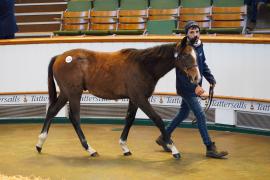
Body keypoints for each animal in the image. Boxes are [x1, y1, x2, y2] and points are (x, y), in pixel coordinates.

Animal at [35, 36, 199, 159]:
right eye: (185, 55)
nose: (196, 78)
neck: (143, 65)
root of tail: (60, 57)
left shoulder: (134, 99)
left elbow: (129, 119)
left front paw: (124, 147)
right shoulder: (140, 98)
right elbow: (157, 119)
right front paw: (174, 149)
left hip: (65, 93)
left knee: (52, 111)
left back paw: (39, 144)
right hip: (73, 93)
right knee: (74, 117)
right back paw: (90, 149)